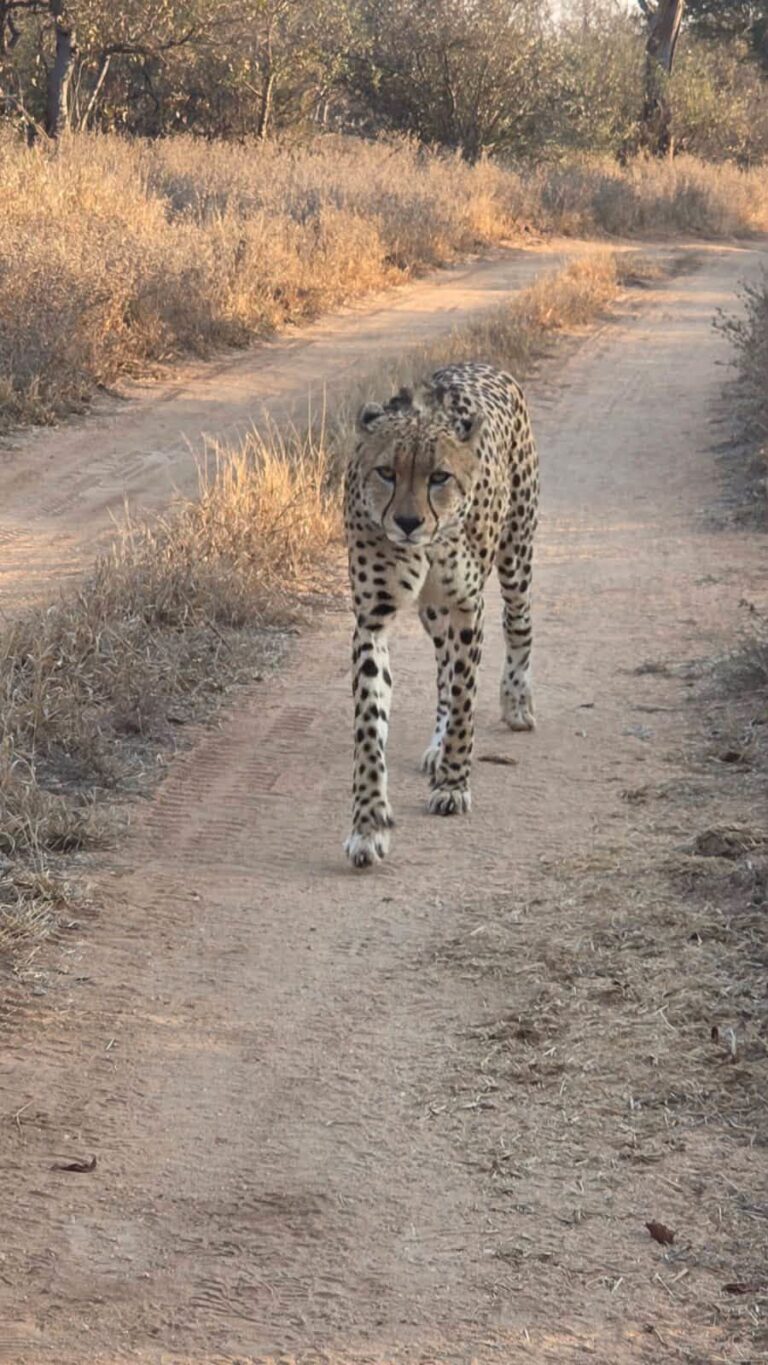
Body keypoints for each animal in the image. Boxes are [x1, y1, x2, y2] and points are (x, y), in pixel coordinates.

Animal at [343, 361, 539, 869]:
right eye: (386, 472)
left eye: (439, 477)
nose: (408, 523)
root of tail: (483, 365)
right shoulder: (373, 619)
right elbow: (370, 729)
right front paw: (368, 825)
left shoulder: (468, 606)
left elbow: (466, 698)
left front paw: (452, 783)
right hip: (433, 610)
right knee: (443, 667)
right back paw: (436, 743)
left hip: (516, 556)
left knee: (519, 625)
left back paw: (516, 701)